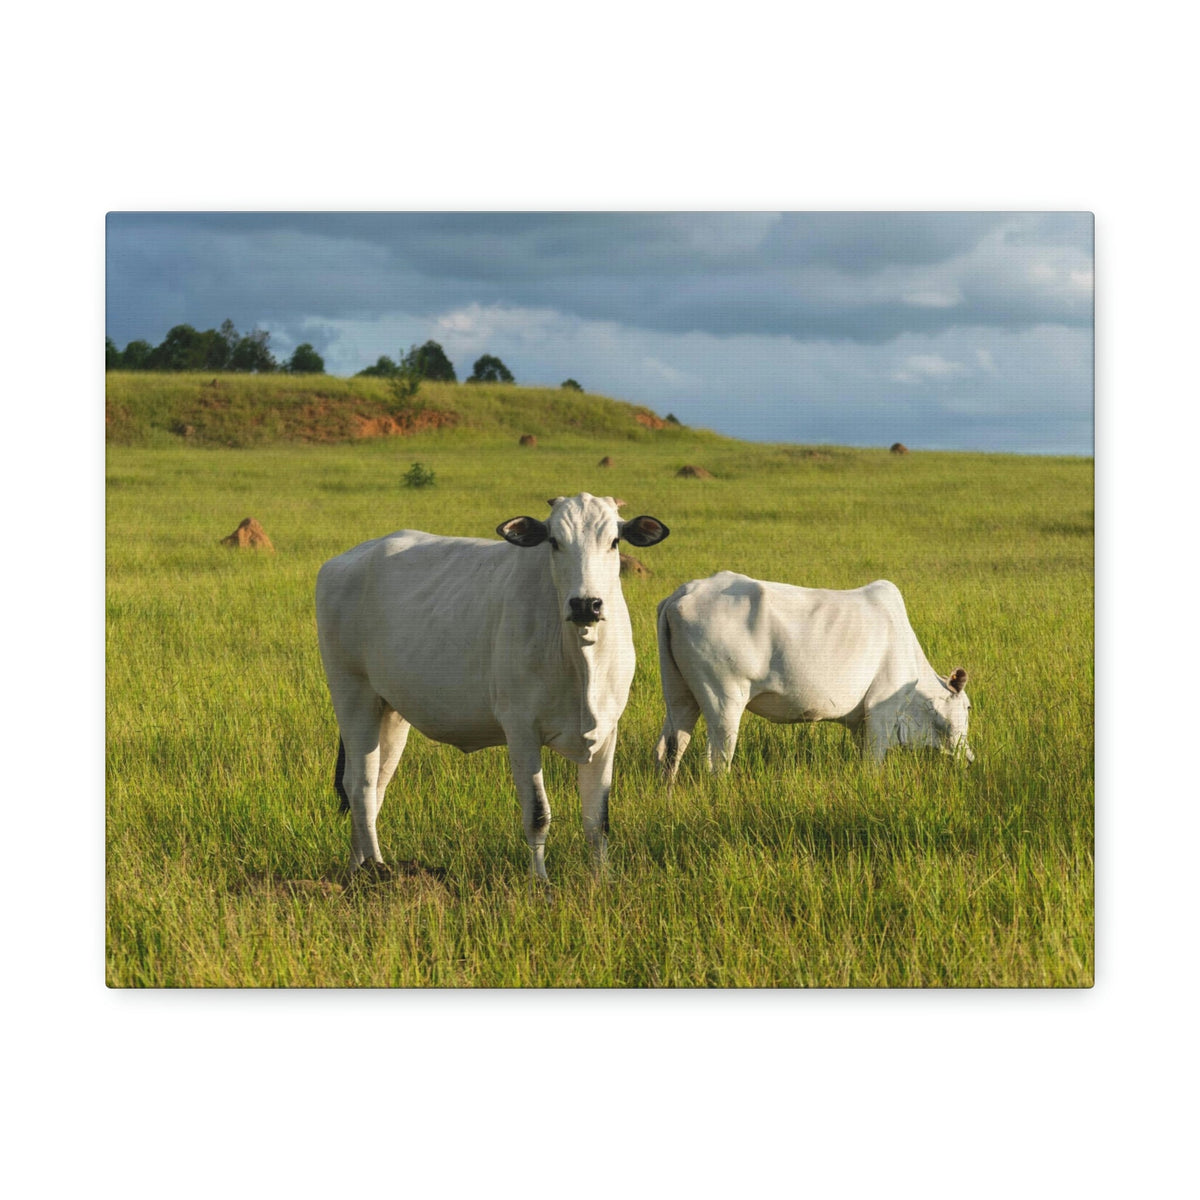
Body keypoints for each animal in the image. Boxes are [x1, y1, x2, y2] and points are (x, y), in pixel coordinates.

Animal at [316, 493, 669, 882]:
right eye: (554, 541)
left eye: (614, 541)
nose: (585, 604)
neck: (580, 657)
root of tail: (345, 560)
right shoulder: (521, 730)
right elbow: (538, 815)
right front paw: (540, 883)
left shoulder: (607, 731)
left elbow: (597, 819)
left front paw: (602, 880)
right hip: (352, 694)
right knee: (360, 786)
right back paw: (379, 870)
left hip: (390, 711)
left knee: (374, 785)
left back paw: (356, 869)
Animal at [654, 572, 973, 783]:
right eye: (968, 706)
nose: (969, 758)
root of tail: (682, 594)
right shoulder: (881, 710)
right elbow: (873, 762)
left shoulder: (861, 723)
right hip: (724, 698)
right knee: (717, 760)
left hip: (680, 695)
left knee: (669, 748)